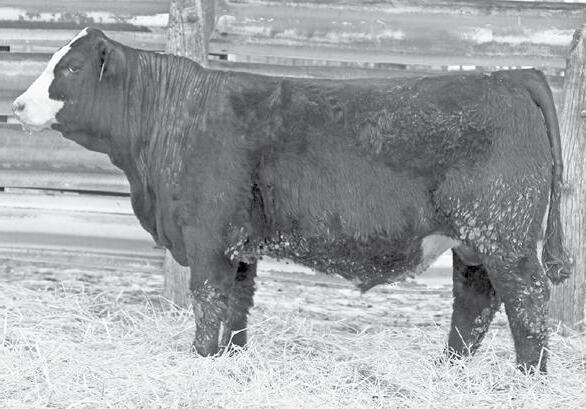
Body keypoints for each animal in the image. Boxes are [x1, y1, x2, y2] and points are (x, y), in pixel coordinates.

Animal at [12, 28, 570, 374]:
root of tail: (509, 75)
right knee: (475, 301)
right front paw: (229, 362)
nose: (17, 105)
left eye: (72, 68)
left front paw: (200, 360)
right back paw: (449, 371)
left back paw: (527, 380)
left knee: (527, 298)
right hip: (475, 241)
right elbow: (236, 306)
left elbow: (208, 302)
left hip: (504, 233)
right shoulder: (240, 245)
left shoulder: (208, 237)